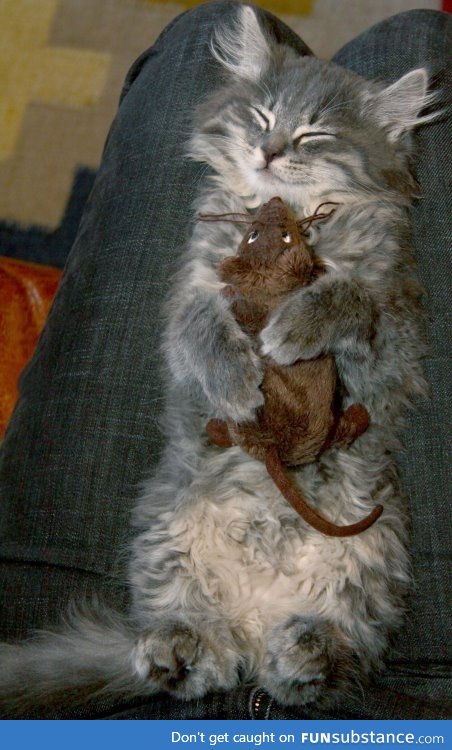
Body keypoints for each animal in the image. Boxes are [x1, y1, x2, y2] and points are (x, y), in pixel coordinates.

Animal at [0, 4, 438, 716]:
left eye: (313, 134)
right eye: (261, 118)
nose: (270, 150)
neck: (290, 230)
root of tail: (257, 628)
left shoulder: (391, 341)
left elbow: (345, 295)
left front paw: (292, 328)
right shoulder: (189, 300)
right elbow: (205, 327)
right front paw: (237, 384)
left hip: (368, 553)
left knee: (339, 648)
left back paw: (305, 656)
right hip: (167, 529)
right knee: (194, 644)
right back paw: (173, 650)